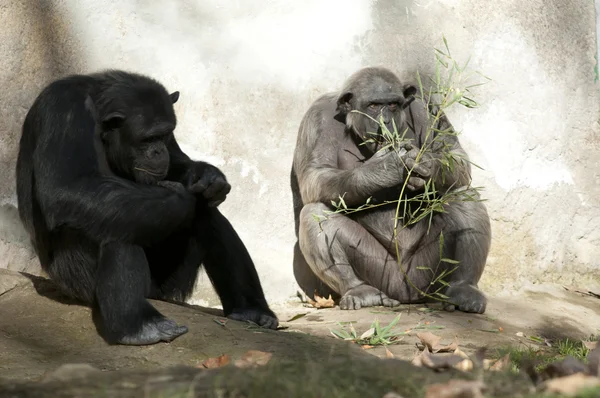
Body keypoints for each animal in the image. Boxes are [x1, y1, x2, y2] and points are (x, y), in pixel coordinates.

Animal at [16, 70, 278, 346]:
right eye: (149, 138)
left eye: (164, 135)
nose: (158, 150)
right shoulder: (63, 109)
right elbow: (67, 187)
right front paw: (182, 198)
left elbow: (179, 164)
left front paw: (207, 176)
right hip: (76, 281)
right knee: (116, 226)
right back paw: (139, 325)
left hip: (169, 285)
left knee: (209, 216)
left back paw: (252, 310)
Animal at [292, 66, 492, 314]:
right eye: (374, 106)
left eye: (394, 105)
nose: (386, 120)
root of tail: (405, 295)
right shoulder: (318, 118)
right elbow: (316, 174)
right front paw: (386, 168)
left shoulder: (427, 109)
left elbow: (455, 157)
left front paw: (424, 163)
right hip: (381, 273)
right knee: (315, 213)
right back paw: (360, 291)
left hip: (427, 274)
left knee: (462, 194)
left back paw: (463, 290)